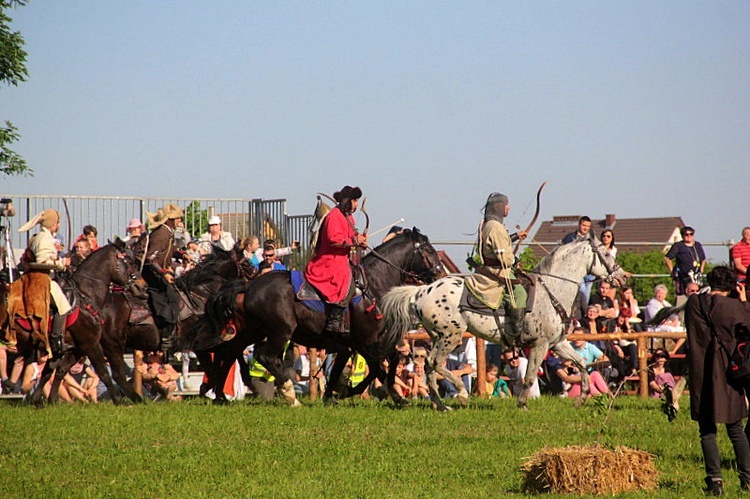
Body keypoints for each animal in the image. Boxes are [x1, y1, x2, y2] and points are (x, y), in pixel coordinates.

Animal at [181, 227, 446, 406]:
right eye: (429, 251)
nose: (440, 275)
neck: (373, 284)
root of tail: (249, 285)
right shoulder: (368, 341)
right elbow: (380, 367)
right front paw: (394, 397)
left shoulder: (353, 345)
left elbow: (364, 367)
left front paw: (334, 395)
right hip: (280, 332)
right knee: (264, 356)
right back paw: (289, 393)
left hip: (251, 331)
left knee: (230, 352)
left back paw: (219, 394)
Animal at [378, 233, 632, 410]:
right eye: (606, 255)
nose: (623, 277)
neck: (552, 290)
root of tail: (421, 291)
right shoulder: (539, 345)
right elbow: (529, 377)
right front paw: (522, 404)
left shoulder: (556, 343)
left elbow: (580, 363)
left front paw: (582, 398)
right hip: (451, 335)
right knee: (434, 362)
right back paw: (460, 393)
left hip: (438, 336)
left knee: (430, 367)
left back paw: (440, 405)